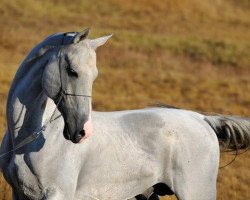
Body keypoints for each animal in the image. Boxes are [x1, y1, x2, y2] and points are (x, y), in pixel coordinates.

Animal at [0, 28, 249, 200]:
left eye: (94, 75)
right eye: (72, 72)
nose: (82, 131)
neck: (26, 139)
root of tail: (201, 119)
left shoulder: (56, 194)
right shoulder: (19, 194)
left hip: (197, 192)